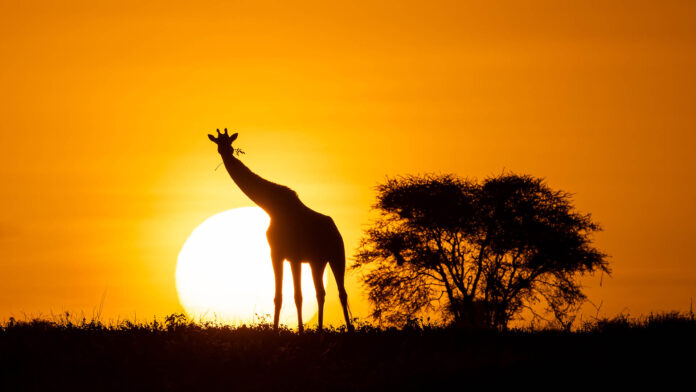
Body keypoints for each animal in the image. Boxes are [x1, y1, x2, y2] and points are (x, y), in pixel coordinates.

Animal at [207, 130, 354, 332]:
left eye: (229, 143)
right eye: (219, 144)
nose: (227, 153)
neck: (271, 206)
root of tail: (336, 230)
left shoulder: (287, 255)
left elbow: (294, 296)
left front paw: (291, 331)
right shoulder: (284, 255)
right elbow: (284, 295)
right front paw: (285, 331)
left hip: (337, 256)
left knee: (341, 293)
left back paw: (348, 330)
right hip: (317, 262)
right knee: (321, 292)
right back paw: (320, 330)